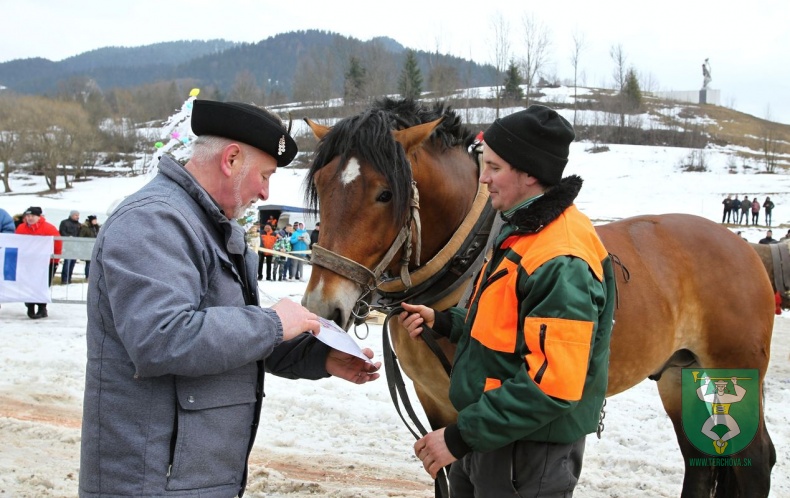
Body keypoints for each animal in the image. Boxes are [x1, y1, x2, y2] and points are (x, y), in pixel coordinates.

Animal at [304, 98, 780, 498]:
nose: (322, 309)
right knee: (699, 464)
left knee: (756, 461)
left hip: (734, 366)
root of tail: (744, 247)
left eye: (385, 194)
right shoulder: (435, 403)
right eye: (322, 187)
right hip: (678, 375)